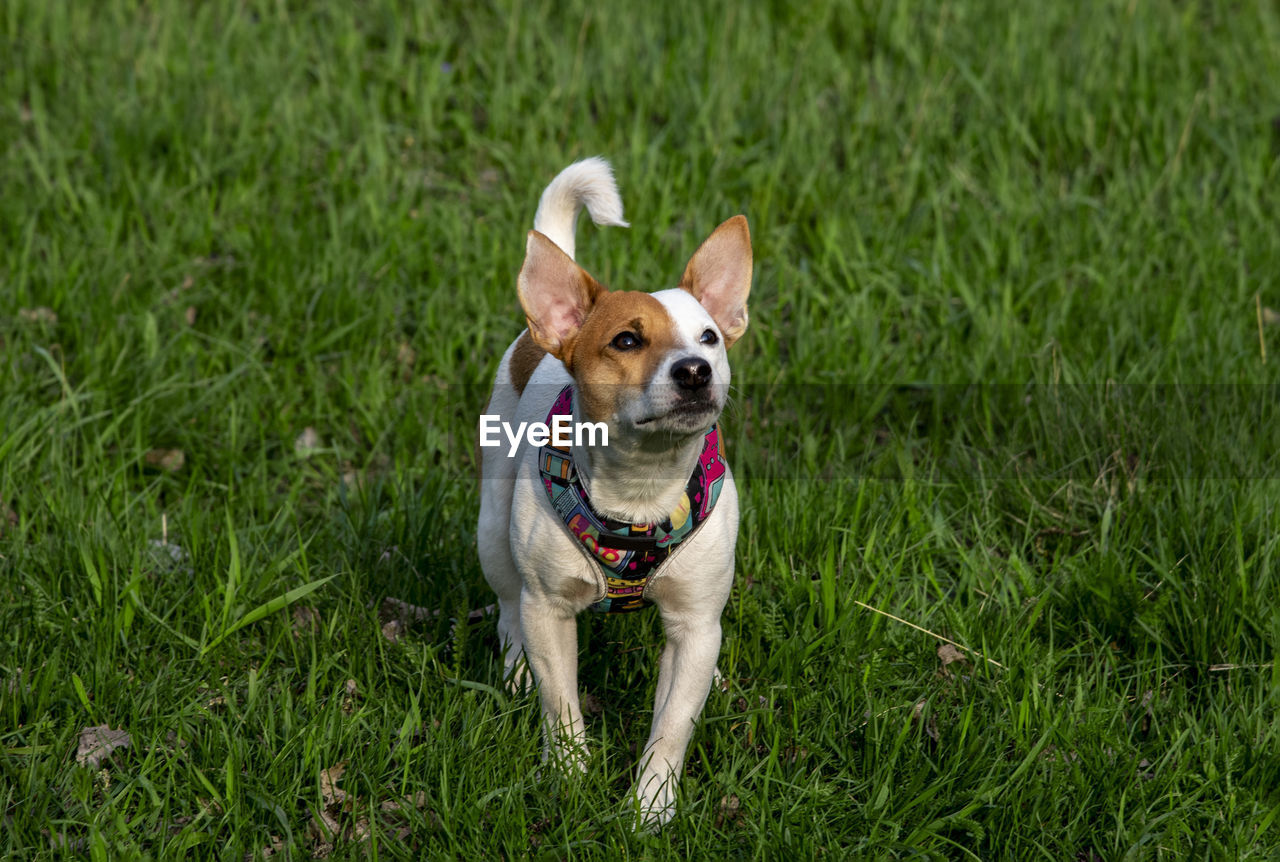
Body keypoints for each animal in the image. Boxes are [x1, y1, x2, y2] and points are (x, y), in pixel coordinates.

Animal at [476, 156, 747, 824]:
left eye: (710, 338)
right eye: (626, 340)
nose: (695, 370)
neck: (642, 487)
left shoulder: (694, 624)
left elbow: (673, 721)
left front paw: (650, 805)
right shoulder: (549, 611)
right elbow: (560, 703)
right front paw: (568, 776)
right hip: (492, 532)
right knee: (507, 606)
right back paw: (514, 669)